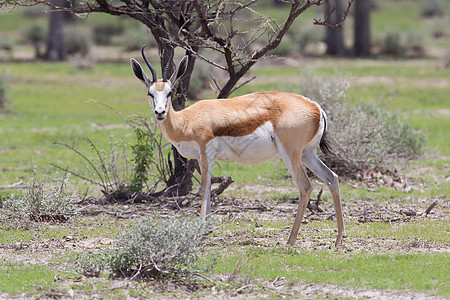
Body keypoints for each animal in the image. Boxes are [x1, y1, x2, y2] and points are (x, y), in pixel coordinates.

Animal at [130, 45, 344, 246]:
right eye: (150, 93)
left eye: (169, 92)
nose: (160, 112)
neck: (187, 120)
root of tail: (316, 107)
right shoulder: (204, 158)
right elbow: (208, 189)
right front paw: (206, 231)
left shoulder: (206, 152)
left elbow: (204, 190)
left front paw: (199, 234)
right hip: (307, 153)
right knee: (331, 178)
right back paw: (339, 239)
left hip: (290, 154)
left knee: (305, 187)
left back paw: (290, 241)